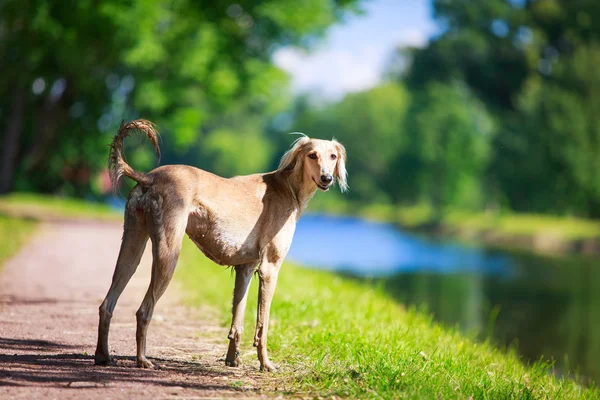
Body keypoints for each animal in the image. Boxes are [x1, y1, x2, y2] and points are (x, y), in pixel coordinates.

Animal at [94, 119, 346, 372]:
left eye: (333, 156)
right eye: (312, 155)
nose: (326, 178)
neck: (287, 188)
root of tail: (150, 177)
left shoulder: (245, 269)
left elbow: (237, 323)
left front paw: (232, 360)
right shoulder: (269, 269)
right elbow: (262, 327)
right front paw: (265, 364)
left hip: (131, 249)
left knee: (106, 305)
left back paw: (103, 356)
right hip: (168, 254)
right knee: (143, 311)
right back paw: (142, 359)